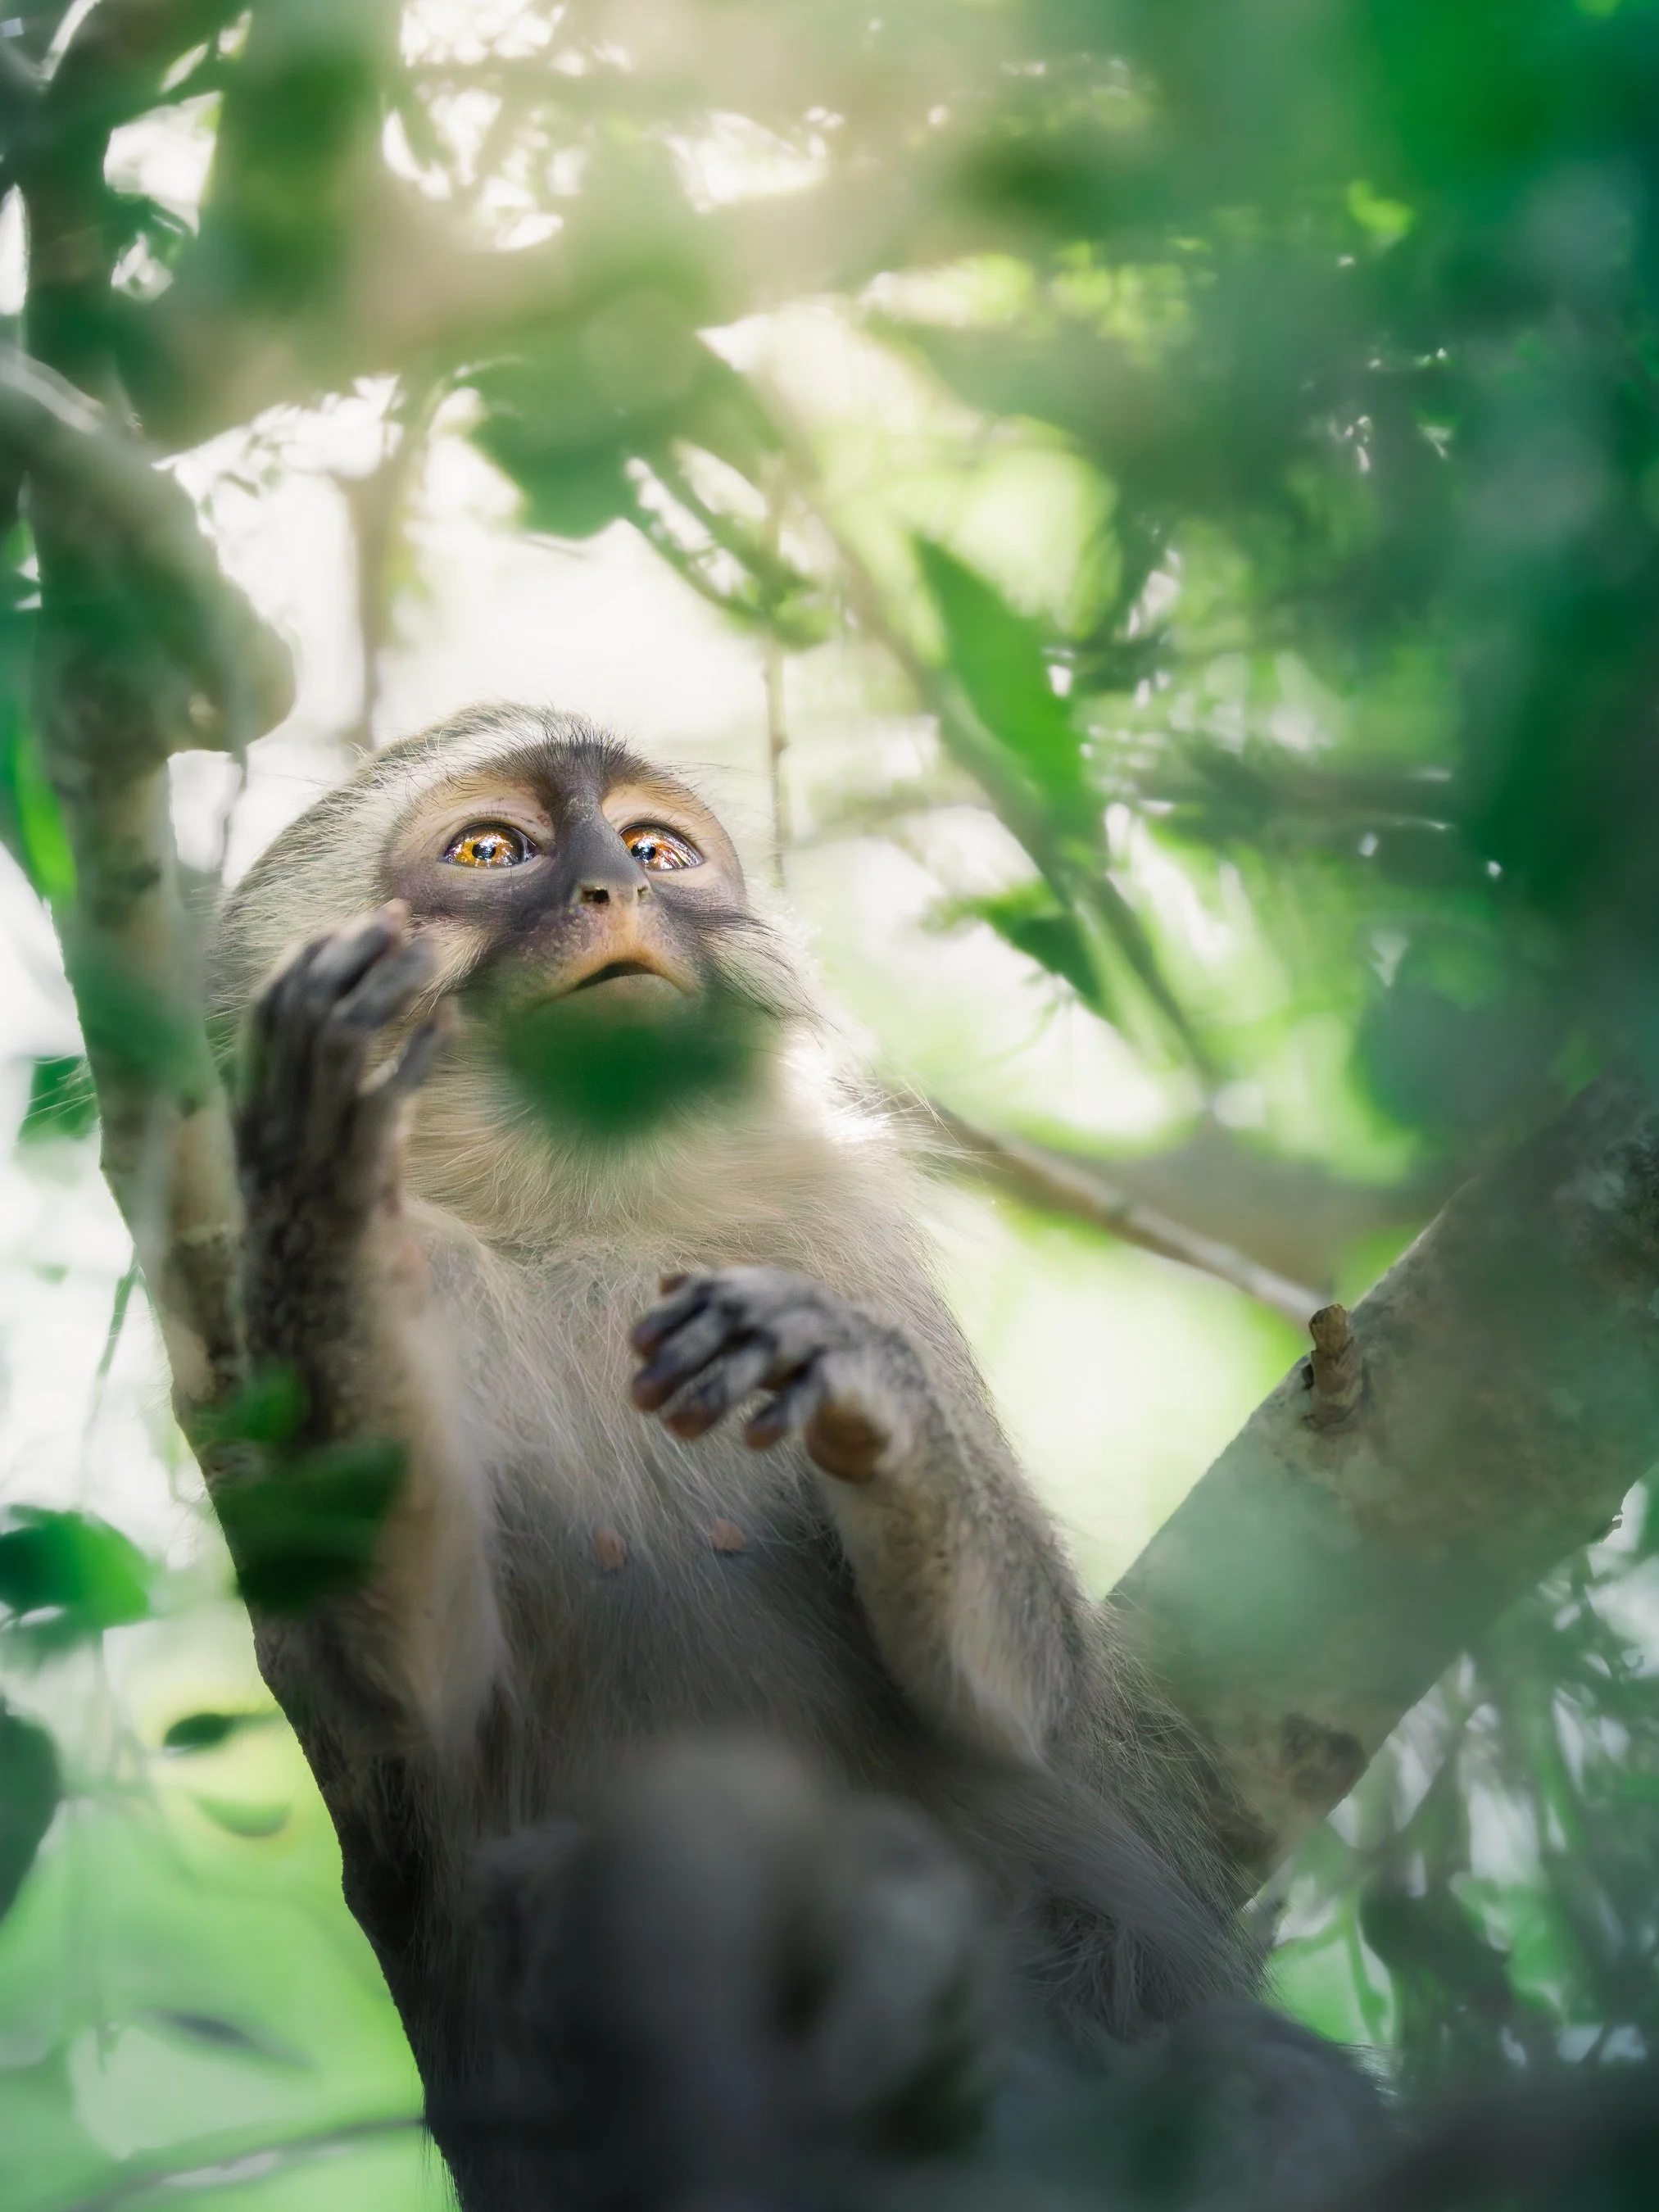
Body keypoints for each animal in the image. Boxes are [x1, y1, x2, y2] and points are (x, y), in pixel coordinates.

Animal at [206, 704, 1385, 2208]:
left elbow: (1019, 1702)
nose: (617, 889)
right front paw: (315, 1162)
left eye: (657, 848)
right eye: (492, 851)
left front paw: (861, 1388)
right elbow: (403, 1695)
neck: (585, 1214)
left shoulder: (843, 1236)